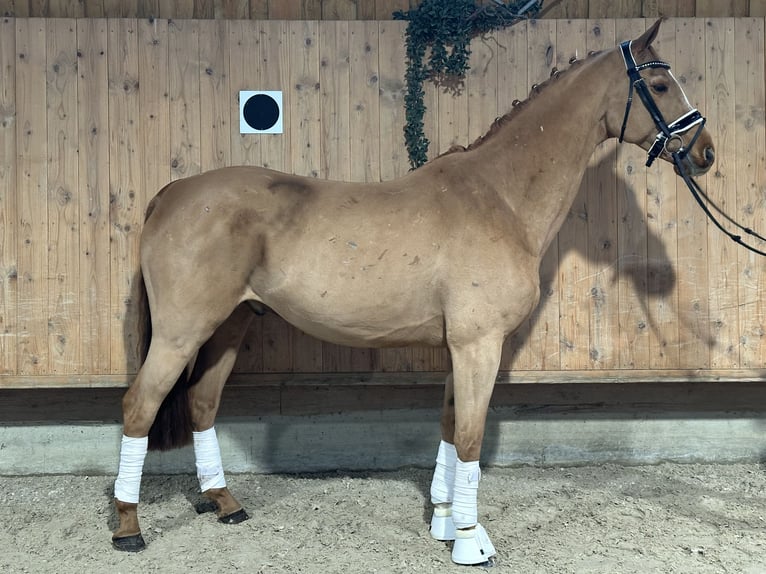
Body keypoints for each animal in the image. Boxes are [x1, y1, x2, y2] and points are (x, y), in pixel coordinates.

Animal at [112, 21, 712, 568]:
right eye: (660, 85)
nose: (705, 151)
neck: (499, 197)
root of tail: (173, 192)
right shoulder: (479, 345)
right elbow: (470, 437)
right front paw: (470, 540)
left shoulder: (460, 347)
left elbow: (448, 426)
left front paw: (444, 521)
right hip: (181, 331)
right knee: (140, 406)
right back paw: (128, 529)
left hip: (231, 325)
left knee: (201, 402)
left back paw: (224, 503)